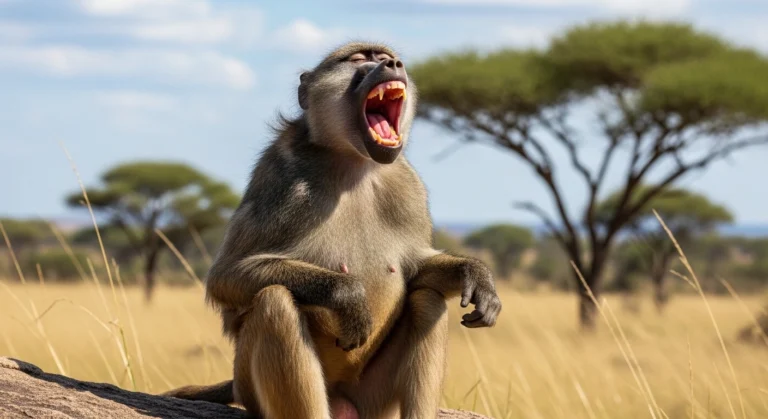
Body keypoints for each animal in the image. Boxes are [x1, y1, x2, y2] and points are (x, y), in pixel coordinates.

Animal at [163, 41, 502, 419]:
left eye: (386, 57)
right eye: (359, 59)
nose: (393, 65)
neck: (352, 163)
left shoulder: (409, 187)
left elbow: (416, 270)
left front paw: (475, 275)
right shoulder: (281, 179)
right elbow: (225, 276)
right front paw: (349, 296)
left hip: (371, 400)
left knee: (428, 299)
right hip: (252, 386)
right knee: (275, 303)